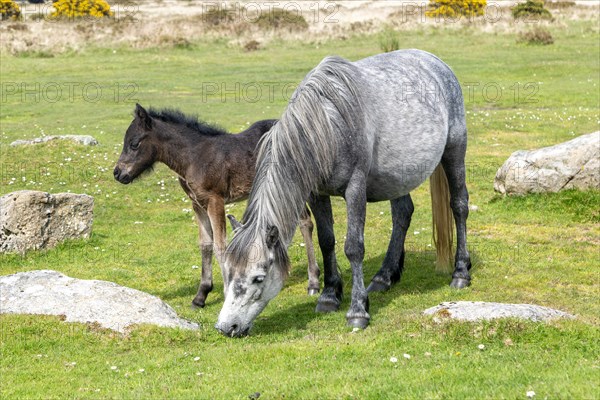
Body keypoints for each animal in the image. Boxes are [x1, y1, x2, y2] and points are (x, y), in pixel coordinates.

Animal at [218, 50, 472, 338]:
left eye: (258, 277)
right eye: (227, 271)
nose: (227, 326)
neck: (327, 125)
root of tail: (436, 62)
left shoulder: (355, 188)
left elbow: (354, 247)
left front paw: (357, 311)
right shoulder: (316, 194)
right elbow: (326, 241)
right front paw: (329, 296)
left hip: (454, 151)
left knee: (459, 206)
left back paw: (460, 272)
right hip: (398, 177)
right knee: (403, 214)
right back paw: (384, 277)